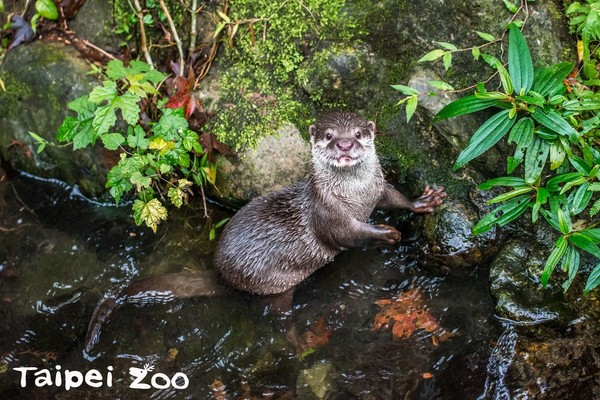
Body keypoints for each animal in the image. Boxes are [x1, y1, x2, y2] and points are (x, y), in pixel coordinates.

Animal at [214, 111, 446, 296]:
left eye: (358, 134)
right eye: (328, 135)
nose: (345, 145)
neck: (358, 196)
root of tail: (219, 267)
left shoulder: (377, 189)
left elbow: (394, 198)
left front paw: (422, 201)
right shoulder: (327, 211)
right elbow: (348, 234)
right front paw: (387, 233)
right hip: (268, 282)